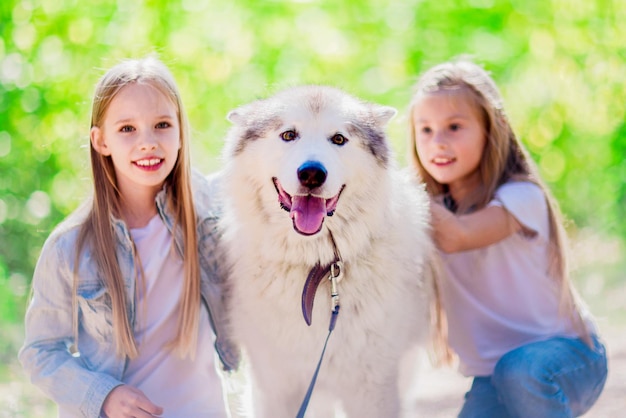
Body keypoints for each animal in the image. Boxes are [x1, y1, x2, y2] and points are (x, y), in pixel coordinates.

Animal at [214, 85, 434, 418]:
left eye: (339, 139)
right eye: (289, 135)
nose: (312, 174)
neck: (316, 265)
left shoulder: (372, 390)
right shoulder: (275, 387)